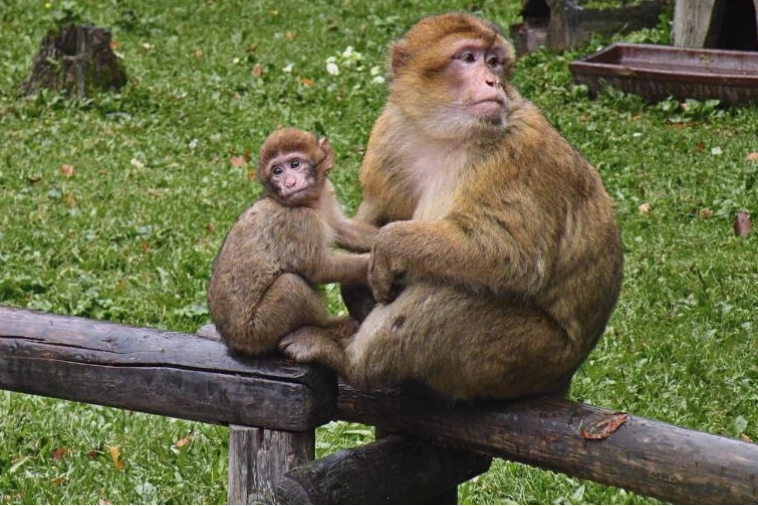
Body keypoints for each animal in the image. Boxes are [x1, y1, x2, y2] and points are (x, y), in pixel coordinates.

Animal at [207, 128, 379, 357]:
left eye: (295, 164)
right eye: (277, 171)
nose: (289, 183)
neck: (310, 203)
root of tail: (233, 342)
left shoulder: (327, 194)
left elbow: (342, 229)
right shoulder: (298, 221)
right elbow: (319, 268)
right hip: (259, 331)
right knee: (290, 284)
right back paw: (329, 325)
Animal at [279, 12, 624, 401]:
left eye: (494, 61)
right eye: (468, 58)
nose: (492, 81)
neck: (444, 135)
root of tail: (560, 380)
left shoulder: (517, 153)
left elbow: (513, 256)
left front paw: (388, 245)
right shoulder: (390, 133)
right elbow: (378, 217)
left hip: (528, 358)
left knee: (448, 289)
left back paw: (349, 361)